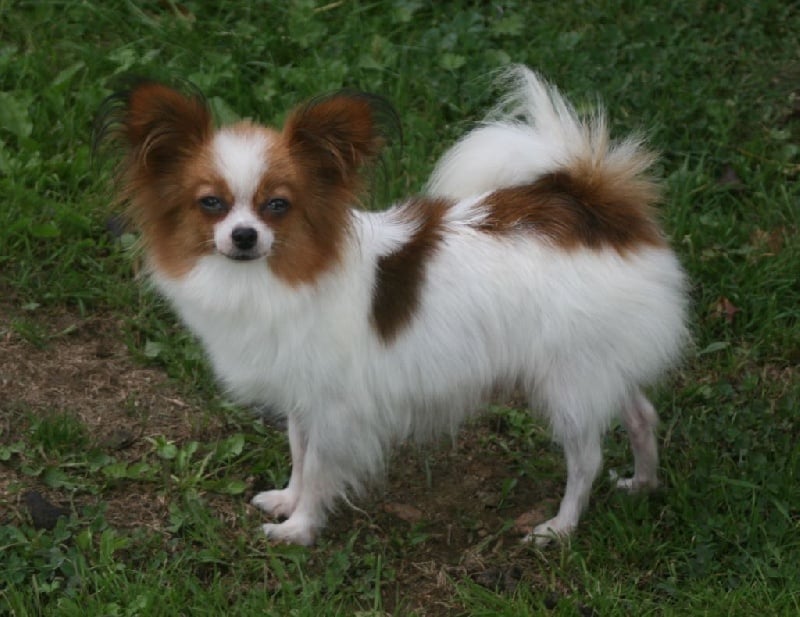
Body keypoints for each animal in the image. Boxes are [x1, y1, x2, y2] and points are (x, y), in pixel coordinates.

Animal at [98, 66, 688, 544]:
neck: (275, 278)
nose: (244, 236)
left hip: (566, 381)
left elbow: (319, 468)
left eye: (278, 206)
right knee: (642, 415)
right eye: (211, 204)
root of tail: (596, 209)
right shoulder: (303, 397)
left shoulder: (336, 408)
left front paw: (299, 529)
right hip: (599, 366)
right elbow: (298, 454)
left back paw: (559, 528)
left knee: (586, 458)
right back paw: (643, 483)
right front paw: (287, 500)